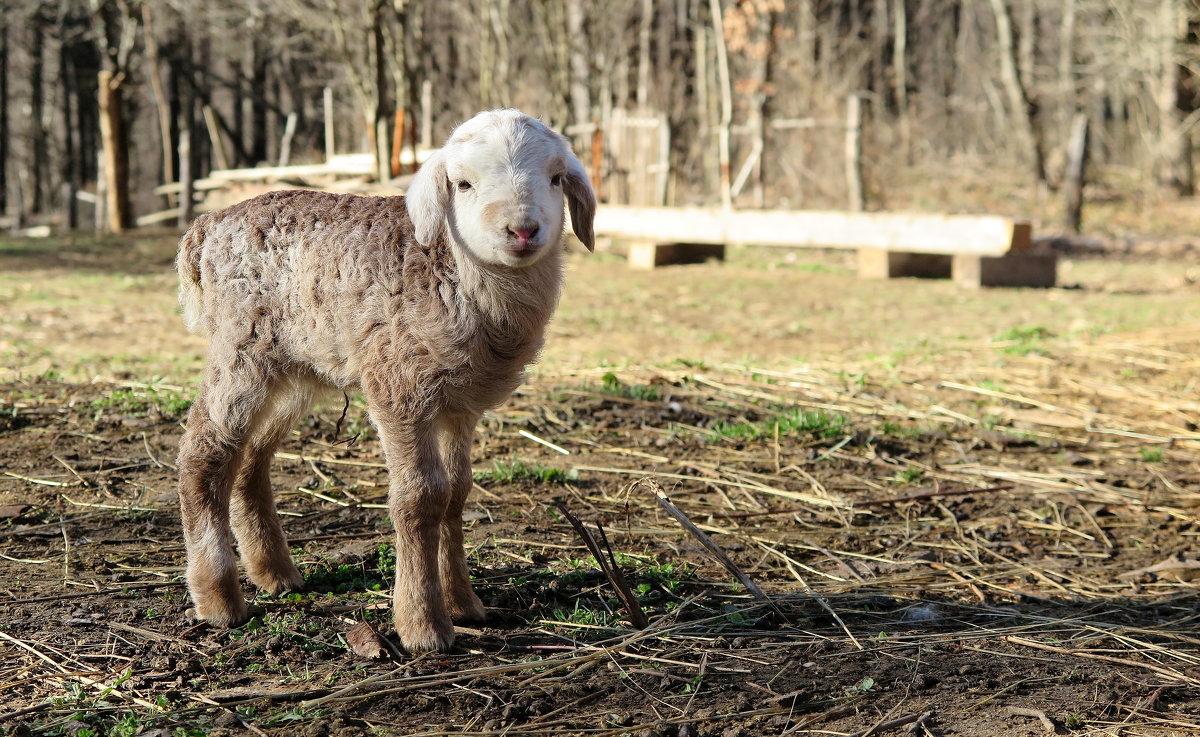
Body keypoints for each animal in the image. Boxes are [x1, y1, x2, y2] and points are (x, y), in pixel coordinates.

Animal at [175, 109, 595, 652]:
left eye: (557, 178)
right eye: (462, 183)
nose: (522, 229)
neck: (453, 272)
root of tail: (204, 228)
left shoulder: (460, 404)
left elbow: (456, 494)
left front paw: (465, 604)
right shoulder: (399, 385)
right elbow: (420, 498)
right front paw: (423, 625)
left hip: (297, 366)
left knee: (251, 458)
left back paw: (275, 573)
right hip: (240, 347)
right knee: (203, 455)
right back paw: (219, 599)